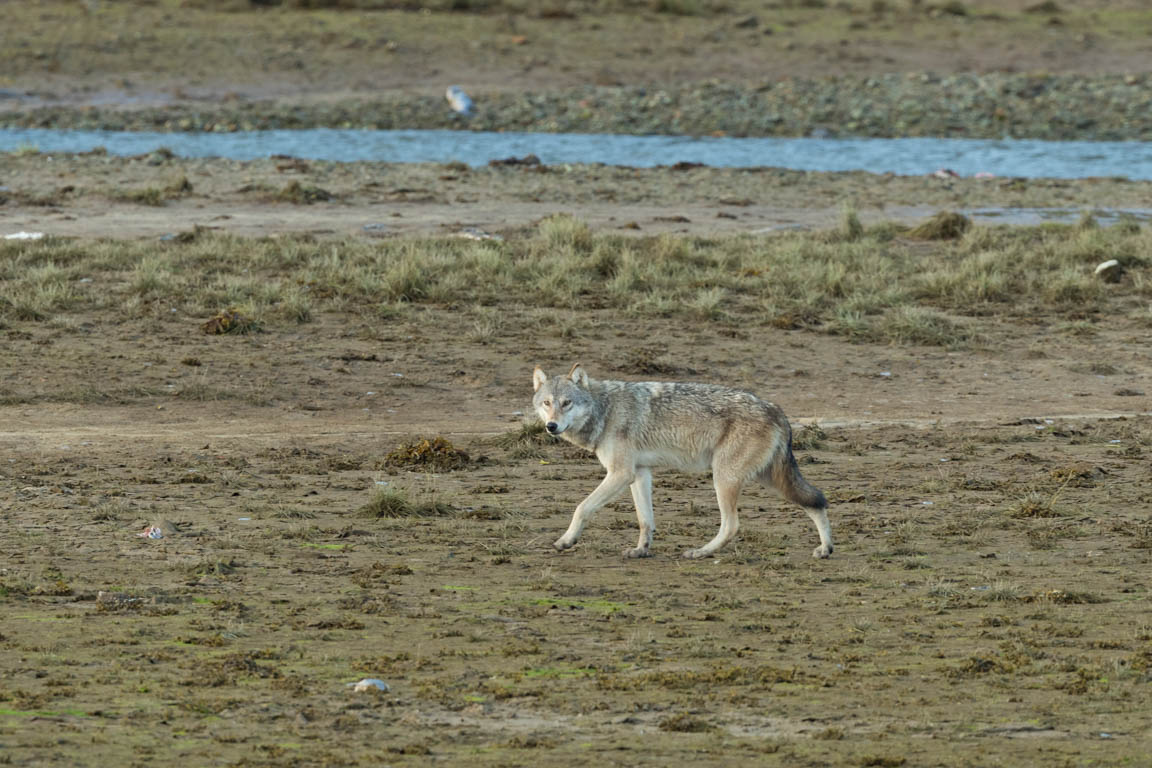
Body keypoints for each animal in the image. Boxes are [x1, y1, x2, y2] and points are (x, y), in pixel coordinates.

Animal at [529, 363, 829, 561]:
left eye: (567, 403)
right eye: (547, 403)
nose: (551, 427)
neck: (606, 409)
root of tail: (776, 410)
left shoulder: (620, 473)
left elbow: (581, 508)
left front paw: (566, 541)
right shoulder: (639, 473)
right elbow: (645, 520)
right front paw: (641, 550)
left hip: (724, 479)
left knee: (732, 525)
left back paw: (700, 552)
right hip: (769, 479)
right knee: (816, 501)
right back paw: (825, 549)